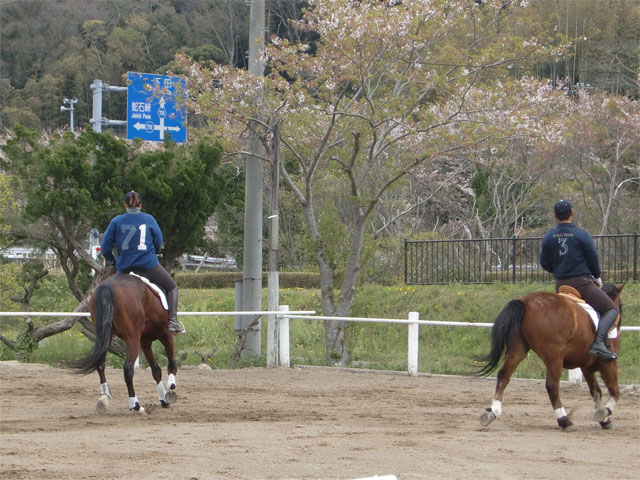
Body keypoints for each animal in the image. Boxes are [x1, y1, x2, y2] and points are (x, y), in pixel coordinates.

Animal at [73, 274, 178, 412]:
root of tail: (107, 286)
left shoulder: (145, 341)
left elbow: (156, 370)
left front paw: (163, 399)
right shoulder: (166, 334)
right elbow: (171, 364)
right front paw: (170, 388)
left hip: (106, 335)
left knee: (100, 363)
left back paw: (104, 397)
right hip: (132, 338)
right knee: (128, 369)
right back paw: (135, 405)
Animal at [478, 282, 624, 432]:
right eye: (621, 305)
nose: (618, 327)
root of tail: (525, 302)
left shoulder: (587, 367)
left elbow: (596, 393)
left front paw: (604, 420)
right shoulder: (608, 364)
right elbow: (614, 391)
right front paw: (605, 413)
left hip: (517, 350)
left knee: (503, 376)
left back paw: (492, 412)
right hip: (554, 357)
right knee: (552, 386)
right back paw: (564, 420)